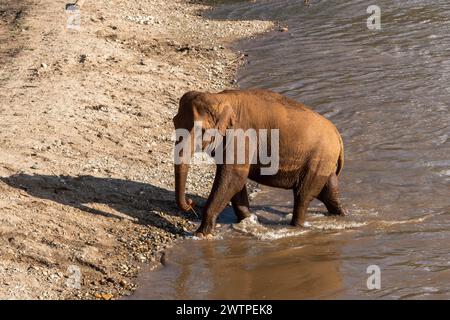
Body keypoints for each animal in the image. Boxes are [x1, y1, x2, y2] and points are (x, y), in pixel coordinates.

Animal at [172, 89, 344, 236]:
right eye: (174, 122)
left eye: (201, 130)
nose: (191, 202)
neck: (220, 97)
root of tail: (338, 136)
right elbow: (235, 181)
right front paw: (248, 221)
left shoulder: (241, 136)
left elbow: (233, 178)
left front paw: (200, 234)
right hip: (324, 162)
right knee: (329, 191)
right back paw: (341, 215)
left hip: (319, 158)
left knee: (303, 195)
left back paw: (296, 226)